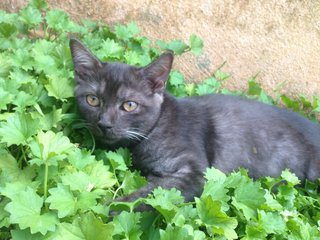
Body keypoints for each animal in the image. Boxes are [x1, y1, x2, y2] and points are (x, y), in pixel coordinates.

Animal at [69, 38, 320, 203]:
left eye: (129, 105)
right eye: (92, 100)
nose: (104, 124)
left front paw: (104, 211)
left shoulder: (196, 174)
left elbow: (146, 198)